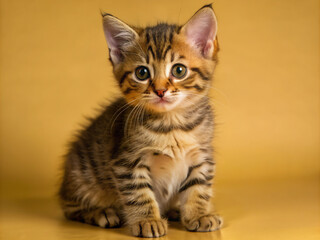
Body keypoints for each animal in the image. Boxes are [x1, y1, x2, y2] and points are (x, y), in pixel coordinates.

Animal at [58, 4, 221, 238]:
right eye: (142, 73)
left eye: (179, 70)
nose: (160, 90)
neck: (172, 126)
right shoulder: (126, 162)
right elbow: (139, 194)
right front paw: (148, 220)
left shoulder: (202, 155)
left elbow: (198, 187)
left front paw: (199, 215)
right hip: (82, 174)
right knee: (71, 208)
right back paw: (101, 212)